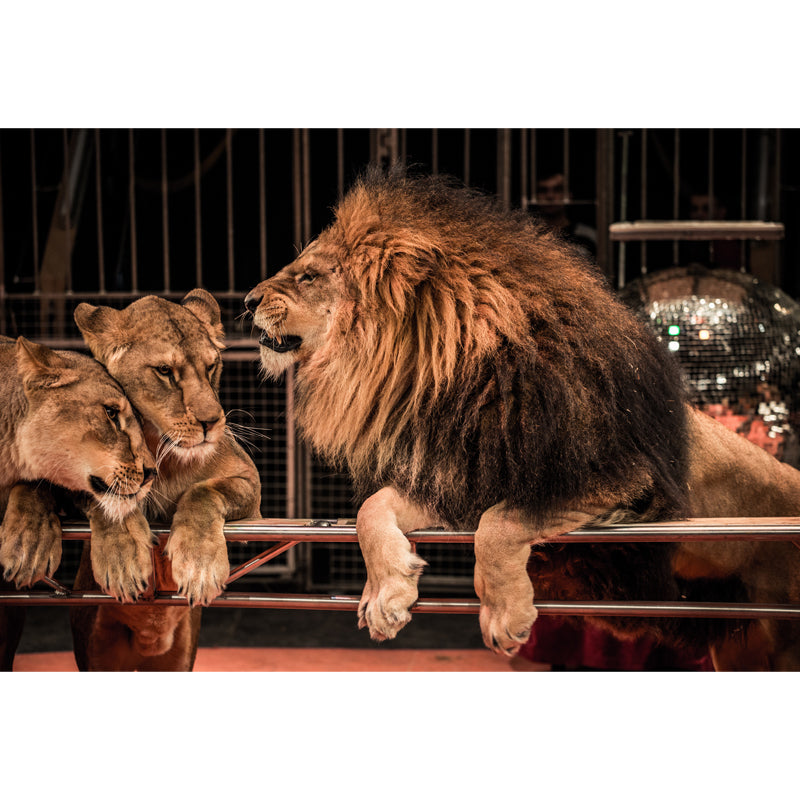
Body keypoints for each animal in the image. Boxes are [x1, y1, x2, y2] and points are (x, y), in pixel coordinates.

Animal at [244, 166, 800, 671]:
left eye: (309, 276)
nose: (247, 300)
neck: (457, 379)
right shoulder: (461, 482)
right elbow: (371, 509)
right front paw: (386, 595)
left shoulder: (618, 484)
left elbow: (501, 524)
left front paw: (504, 615)